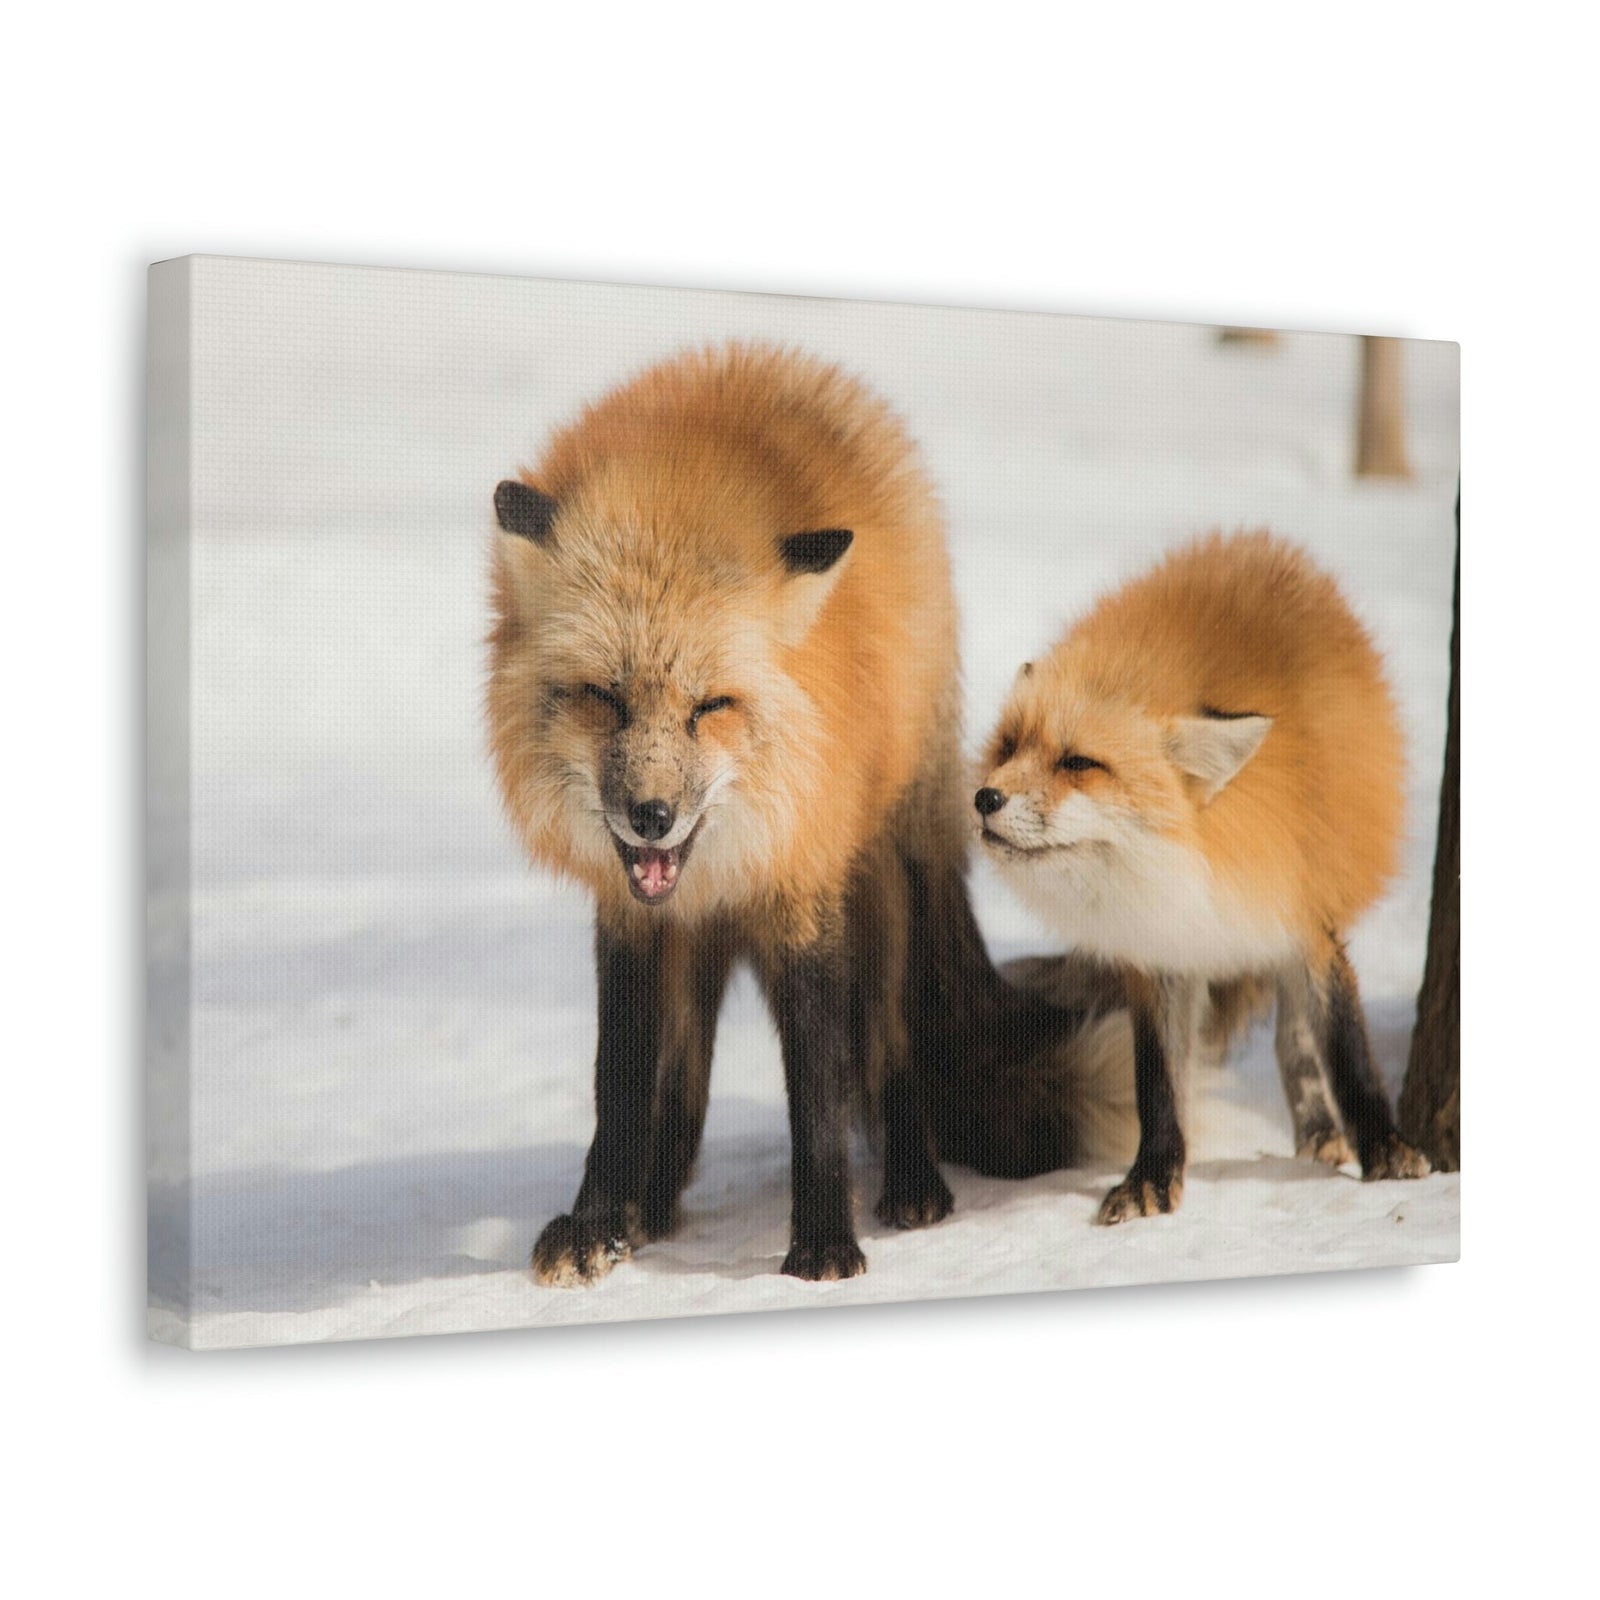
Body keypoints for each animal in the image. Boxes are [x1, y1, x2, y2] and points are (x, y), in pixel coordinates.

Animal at [486, 343, 1134, 1285]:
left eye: (711, 707)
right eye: (604, 698)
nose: (651, 815)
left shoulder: (805, 887)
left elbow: (820, 1084)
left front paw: (824, 1240)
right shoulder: (632, 919)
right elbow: (621, 1082)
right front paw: (600, 1225)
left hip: (884, 883)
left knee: (894, 1048)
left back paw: (913, 1185)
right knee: (683, 1085)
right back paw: (652, 1207)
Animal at [973, 530, 1431, 1226]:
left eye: (1079, 763)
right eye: (1008, 746)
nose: (984, 799)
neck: (1195, 865)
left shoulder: (1305, 917)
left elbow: (1346, 1050)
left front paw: (1385, 1148)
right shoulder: (1161, 953)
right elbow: (1158, 1083)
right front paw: (1154, 1177)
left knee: (1294, 1041)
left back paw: (1321, 1131)